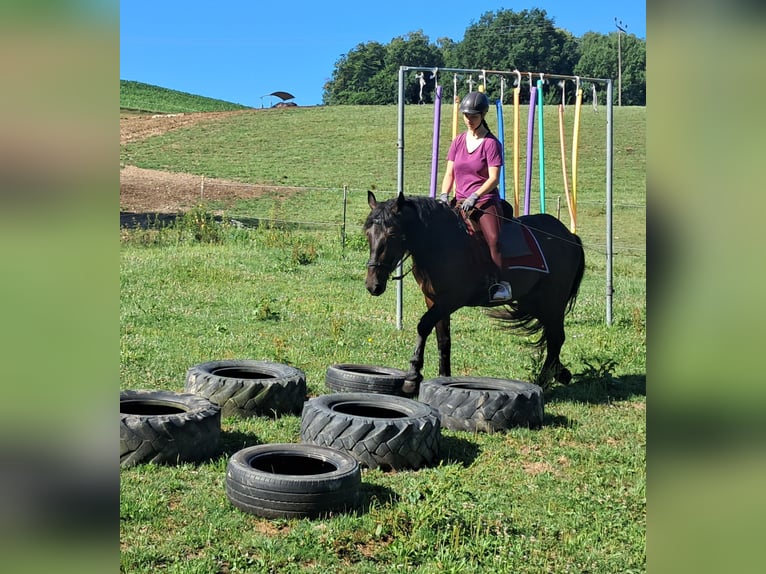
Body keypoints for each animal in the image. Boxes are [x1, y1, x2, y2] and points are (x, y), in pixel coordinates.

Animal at [364, 191, 585, 395]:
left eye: (392, 234)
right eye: (368, 234)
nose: (373, 285)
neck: (441, 242)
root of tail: (569, 236)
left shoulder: (451, 299)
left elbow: (423, 326)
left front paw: (412, 376)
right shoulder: (433, 299)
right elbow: (443, 339)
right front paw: (443, 377)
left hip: (552, 302)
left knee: (556, 337)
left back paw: (542, 381)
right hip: (534, 302)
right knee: (552, 336)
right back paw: (560, 373)